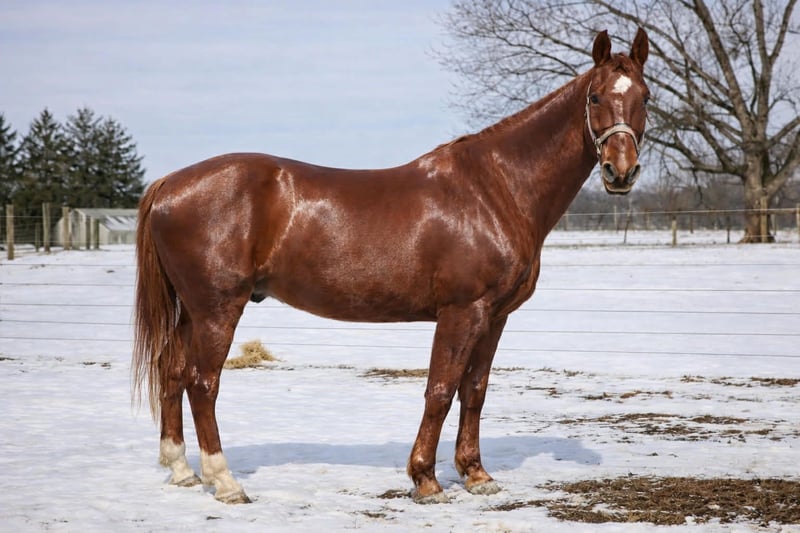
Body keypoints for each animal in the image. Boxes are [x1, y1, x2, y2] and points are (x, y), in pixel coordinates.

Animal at [133, 28, 649, 504]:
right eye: (596, 96)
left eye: (643, 97)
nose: (620, 171)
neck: (496, 188)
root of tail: (169, 183)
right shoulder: (462, 311)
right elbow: (440, 389)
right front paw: (425, 480)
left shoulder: (495, 316)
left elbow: (475, 390)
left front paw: (477, 475)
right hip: (218, 309)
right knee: (203, 383)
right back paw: (225, 482)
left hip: (191, 311)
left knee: (172, 372)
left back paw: (182, 471)